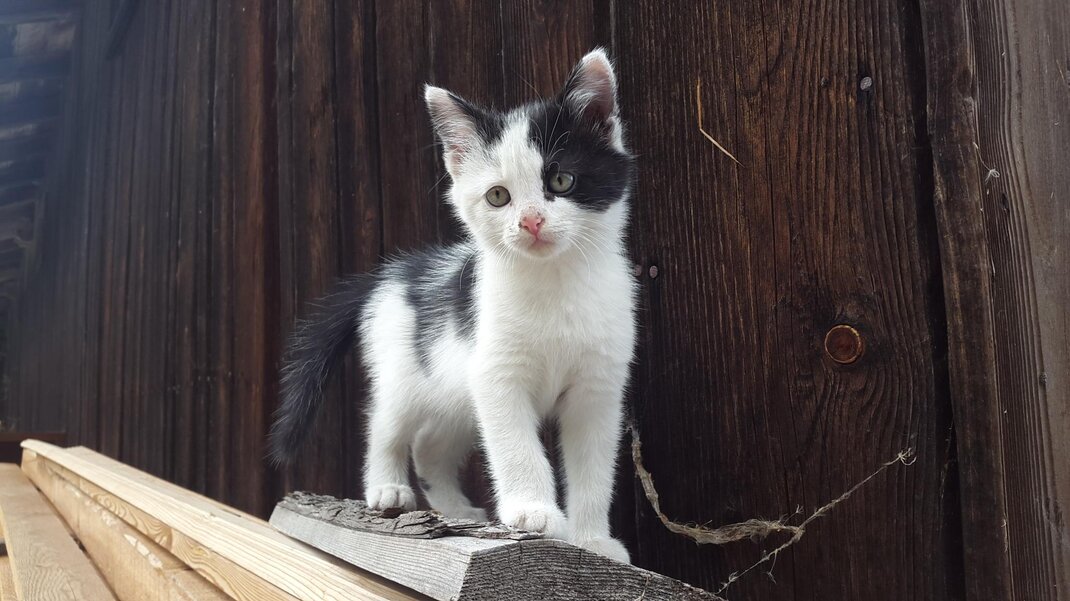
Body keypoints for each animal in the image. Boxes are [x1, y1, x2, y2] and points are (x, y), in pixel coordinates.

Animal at [269, 48, 637, 564]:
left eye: (562, 180)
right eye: (498, 196)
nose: (531, 222)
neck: (554, 284)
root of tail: (390, 276)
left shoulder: (598, 388)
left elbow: (595, 466)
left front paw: (593, 540)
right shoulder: (494, 373)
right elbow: (515, 444)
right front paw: (533, 511)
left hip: (453, 391)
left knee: (430, 445)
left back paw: (454, 508)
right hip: (404, 369)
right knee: (385, 424)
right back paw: (386, 488)